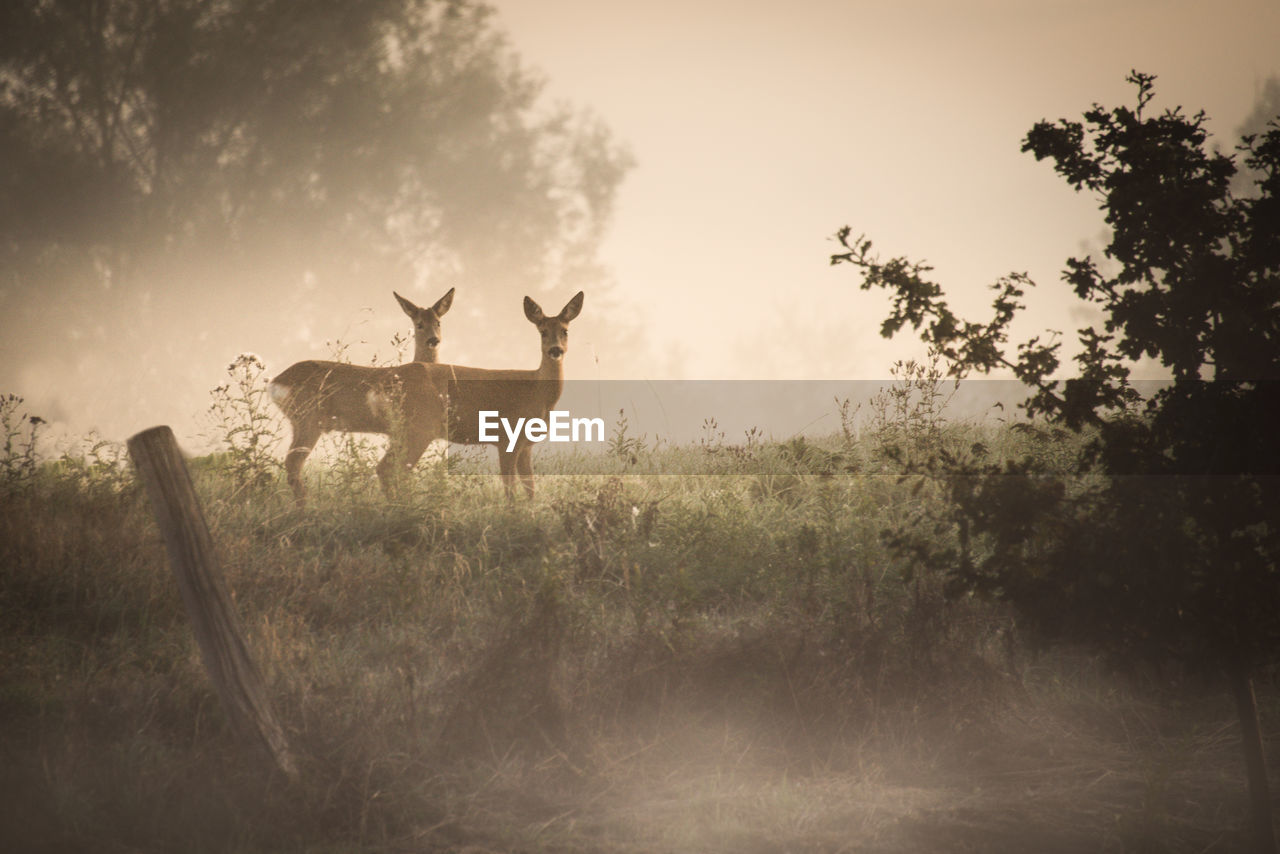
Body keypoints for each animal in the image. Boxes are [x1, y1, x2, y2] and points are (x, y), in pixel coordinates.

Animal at [267, 286, 453, 504]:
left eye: (438, 322)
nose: (433, 340)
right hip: (308, 417)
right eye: (419, 324)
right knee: (293, 463)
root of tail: (276, 381)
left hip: (299, 421)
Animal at [384, 290, 586, 496]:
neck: (538, 392)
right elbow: (510, 489)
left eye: (565, 331)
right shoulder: (506, 437)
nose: (555, 349)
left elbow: (530, 489)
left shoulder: (526, 445)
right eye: (543, 332)